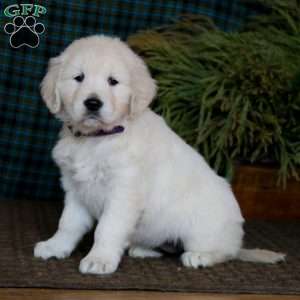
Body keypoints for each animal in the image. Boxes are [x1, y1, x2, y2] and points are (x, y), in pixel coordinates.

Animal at [34, 35, 284, 274]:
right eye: (79, 78)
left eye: (113, 81)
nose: (93, 103)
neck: (96, 139)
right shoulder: (75, 188)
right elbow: (68, 223)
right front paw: (55, 247)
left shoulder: (124, 191)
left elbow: (107, 228)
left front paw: (100, 259)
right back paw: (142, 249)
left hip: (204, 228)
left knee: (225, 252)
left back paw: (201, 256)